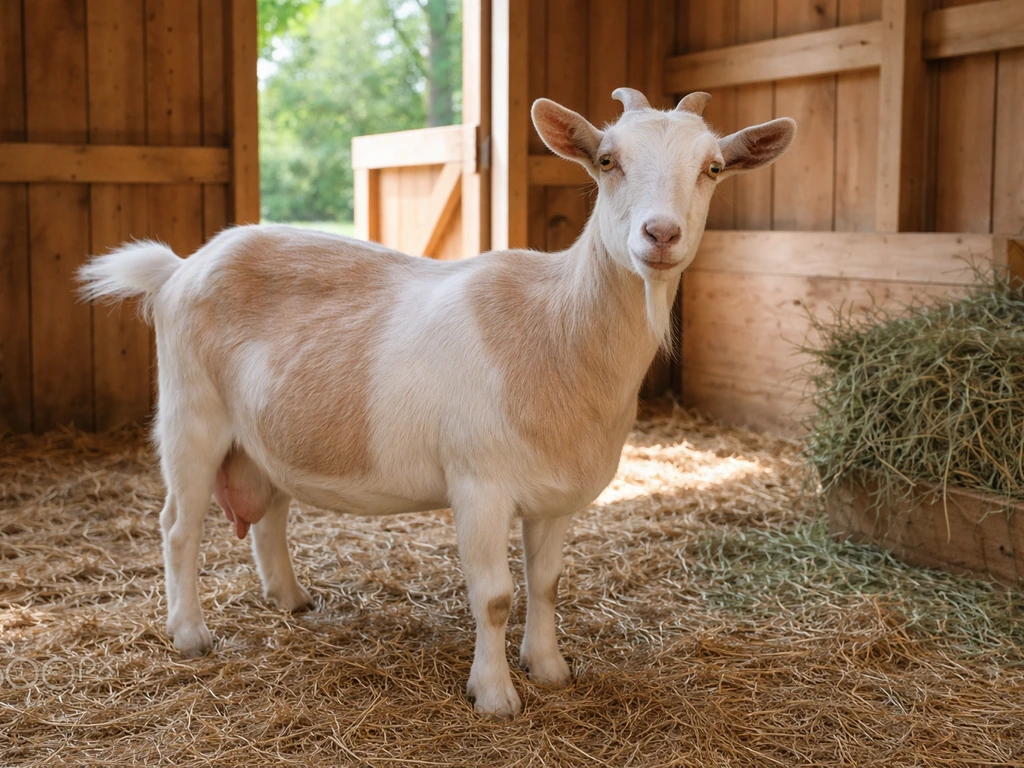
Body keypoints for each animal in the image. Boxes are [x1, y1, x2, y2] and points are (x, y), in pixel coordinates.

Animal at [78, 88, 795, 718]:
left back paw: (291, 599)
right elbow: (496, 596)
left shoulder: (557, 497)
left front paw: (550, 669)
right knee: (178, 525)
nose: (660, 234)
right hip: (190, 417)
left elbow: (547, 582)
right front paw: (496, 695)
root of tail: (178, 269)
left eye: (713, 168)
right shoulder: (478, 483)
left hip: (263, 432)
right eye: (607, 160)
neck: (554, 330)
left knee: (269, 511)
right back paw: (190, 633)